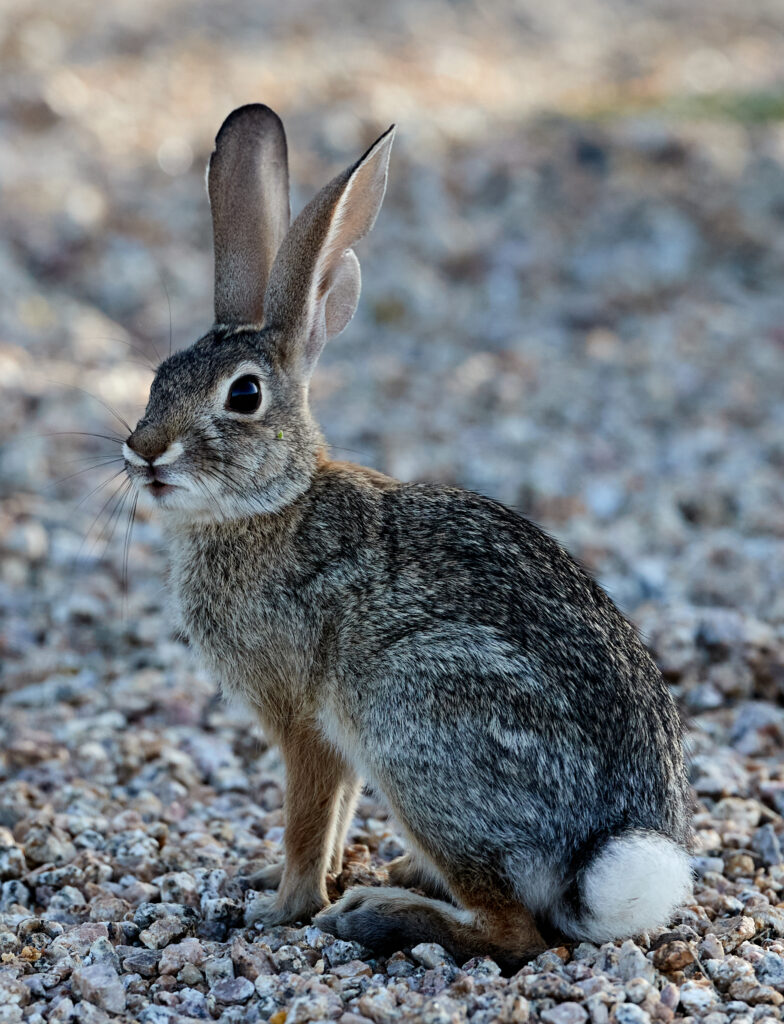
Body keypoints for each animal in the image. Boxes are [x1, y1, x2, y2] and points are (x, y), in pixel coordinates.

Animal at [122, 103, 693, 966]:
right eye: (158, 378)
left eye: (244, 396)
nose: (145, 450)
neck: (269, 505)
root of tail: (601, 861)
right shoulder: (336, 740)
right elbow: (331, 818)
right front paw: (278, 880)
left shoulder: (308, 721)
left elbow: (308, 819)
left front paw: (281, 907)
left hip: (416, 721)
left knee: (516, 933)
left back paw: (375, 914)